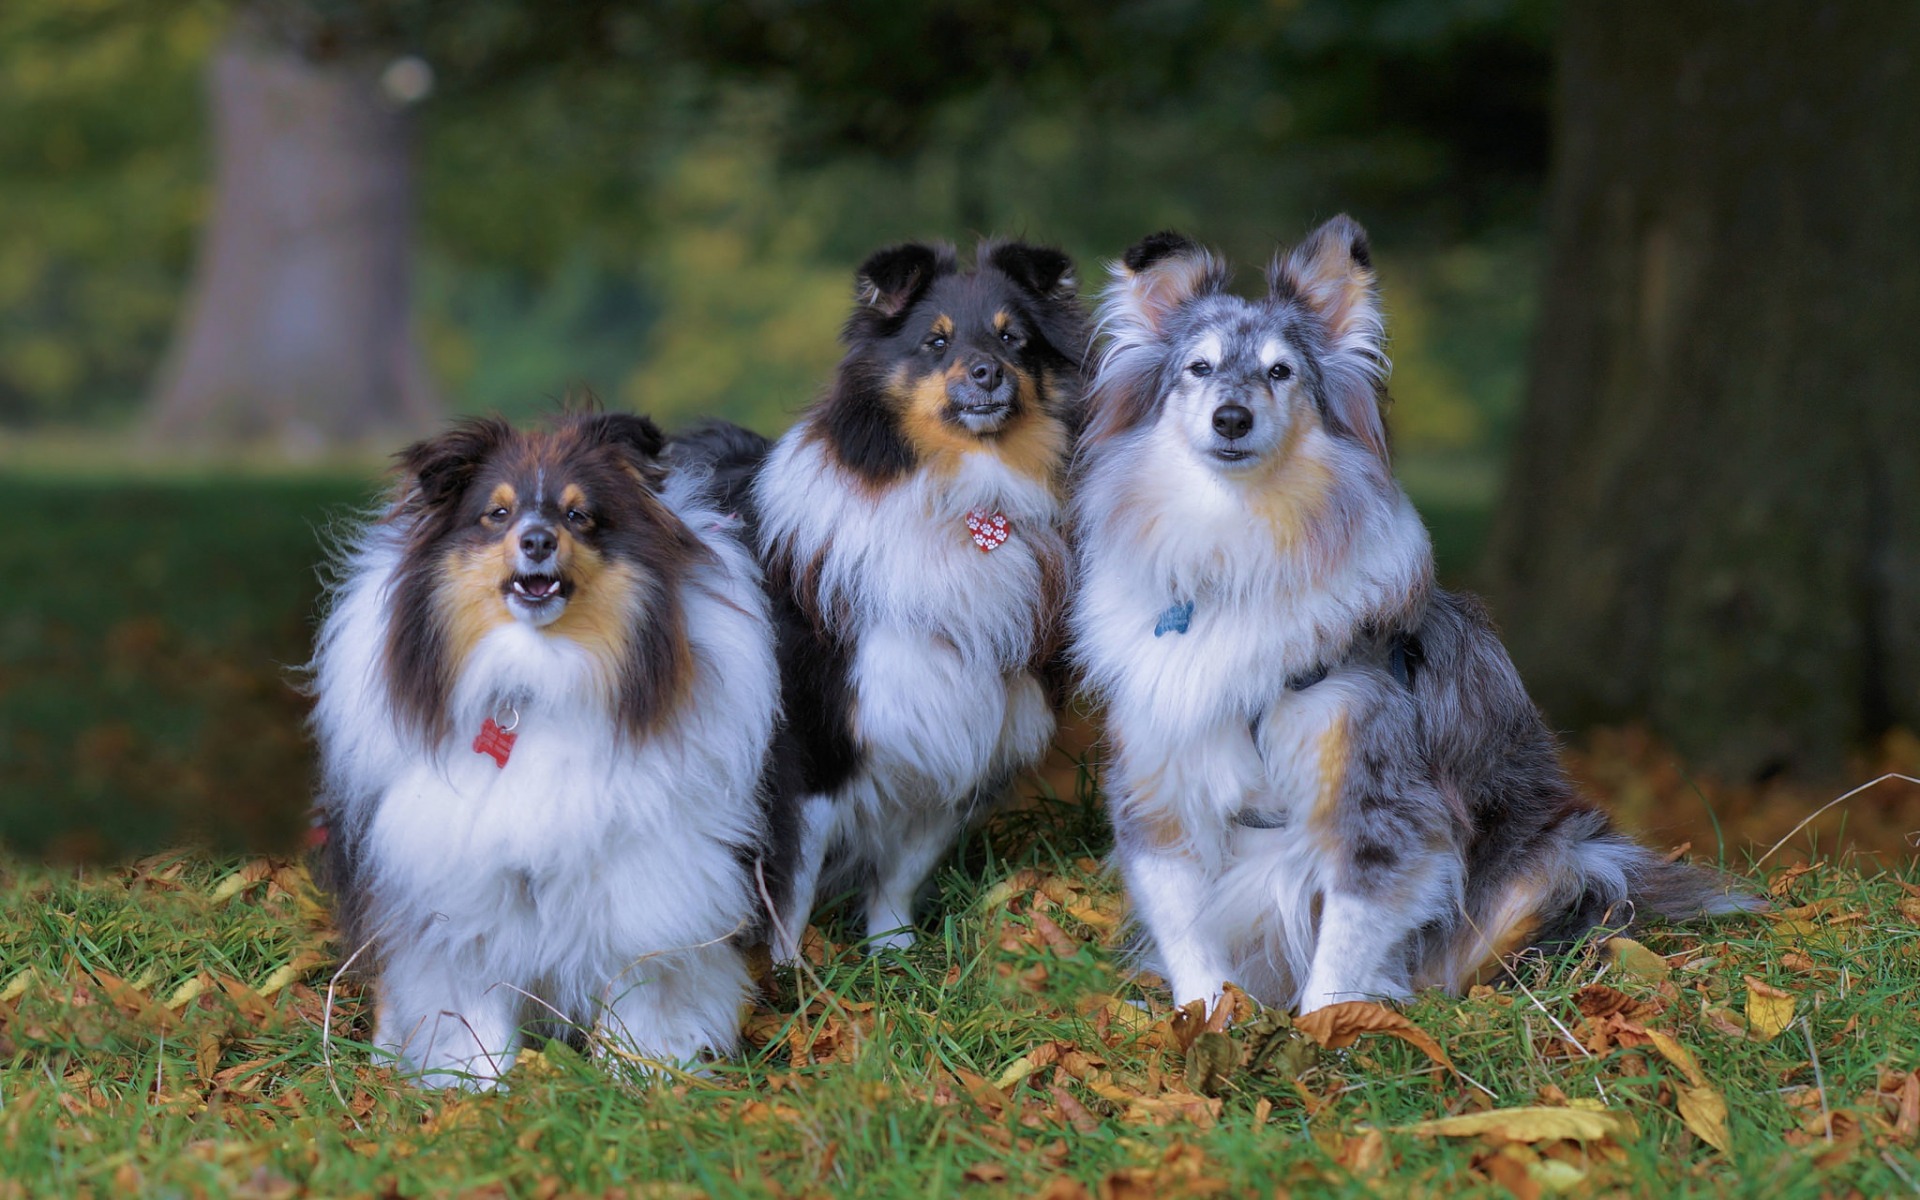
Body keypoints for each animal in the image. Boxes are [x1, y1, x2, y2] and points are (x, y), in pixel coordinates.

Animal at [1067, 217, 1758, 1013]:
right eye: (1199, 368)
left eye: (1281, 373)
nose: (1231, 419)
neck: (1235, 554)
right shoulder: (1159, 787)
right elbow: (1187, 934)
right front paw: (1203, 1020)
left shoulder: (1381, 801)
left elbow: (1344, 942)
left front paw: (1325, 1028)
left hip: (1559, 859)